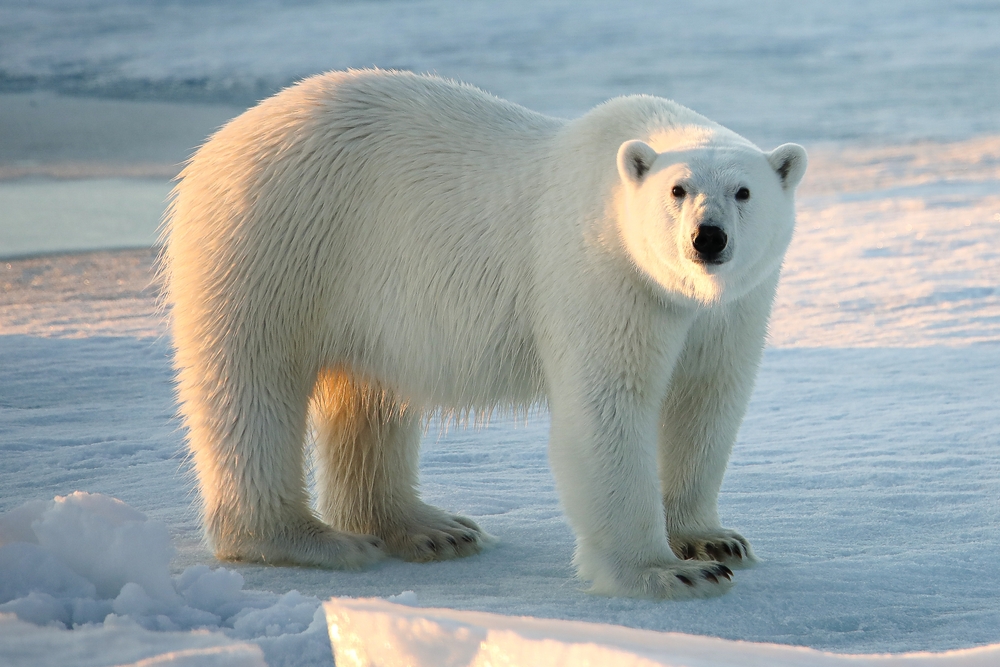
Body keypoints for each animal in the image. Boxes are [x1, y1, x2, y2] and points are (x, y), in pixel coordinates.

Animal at [162, 69, 806, 600]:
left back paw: (430, 529)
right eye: (678, 191)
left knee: (368, 397)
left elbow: (706, 401)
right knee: (253, 383)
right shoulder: (602, 272)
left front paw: (713, 540)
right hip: (273, 240)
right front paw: (669, 572)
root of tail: (222, 140)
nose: (708, 238)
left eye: (744, 192)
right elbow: (609, 408)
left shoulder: (732, 309)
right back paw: (308, 540)